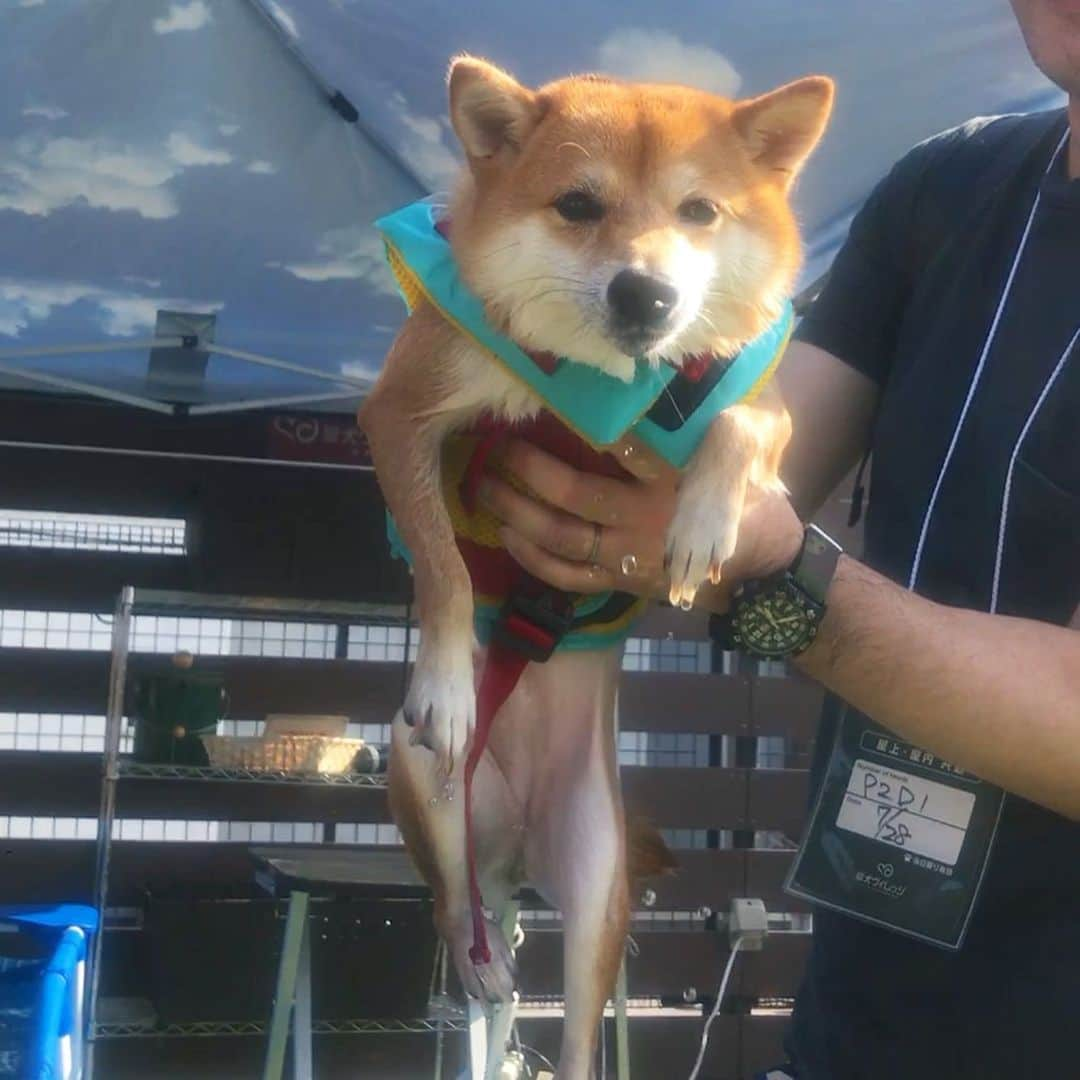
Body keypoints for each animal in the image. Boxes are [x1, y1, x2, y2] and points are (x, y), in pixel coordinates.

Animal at [358, 56, 829, 1071]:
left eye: (700, 211)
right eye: (577, 204)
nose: (643, 294)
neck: (597, 390)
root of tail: (519, 838)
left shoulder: (759, 400)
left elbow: (738, 423)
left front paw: (701, 524)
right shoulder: (402, 414)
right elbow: (445, 566)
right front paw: (448, 680)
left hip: (599, 886)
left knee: (572, 1035)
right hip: (427, 788)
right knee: (455, 906)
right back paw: (479, 956)